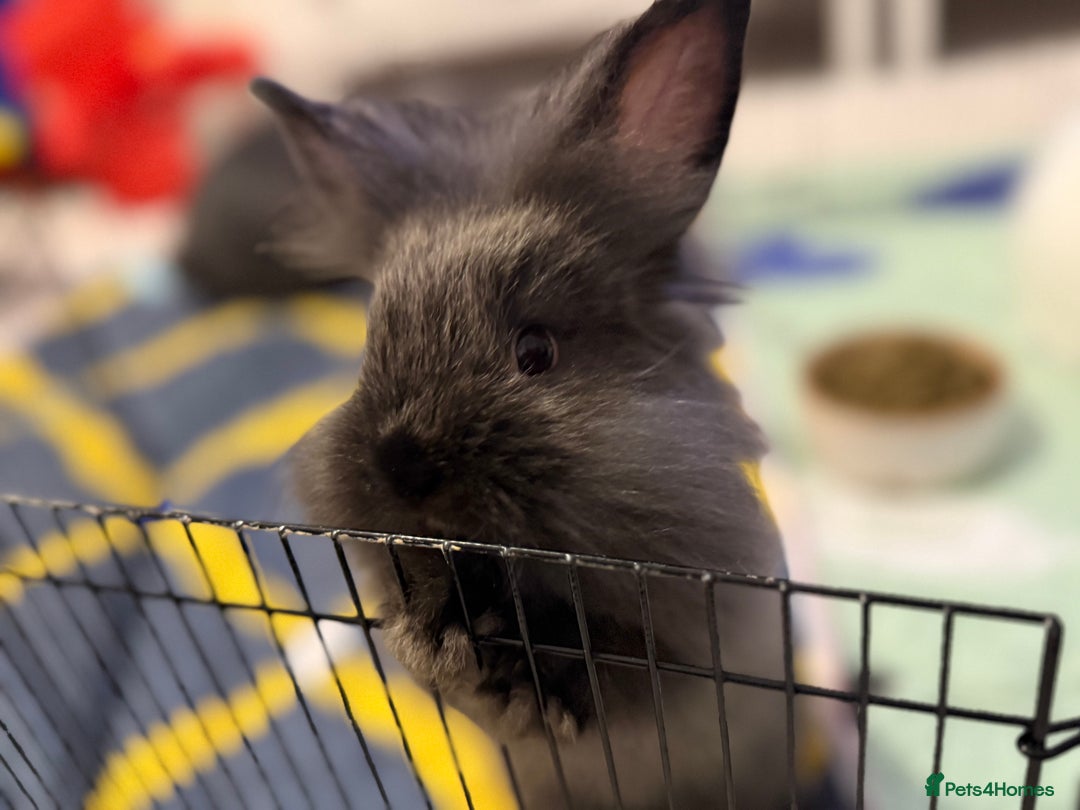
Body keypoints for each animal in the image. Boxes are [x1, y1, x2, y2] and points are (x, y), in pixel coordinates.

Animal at [256, 0, 803, 806]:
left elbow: (617, 676)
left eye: (536, 352)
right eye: (371, 342)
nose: (404, 467)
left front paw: (519, 687)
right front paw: (443, 650)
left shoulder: (688, 654)